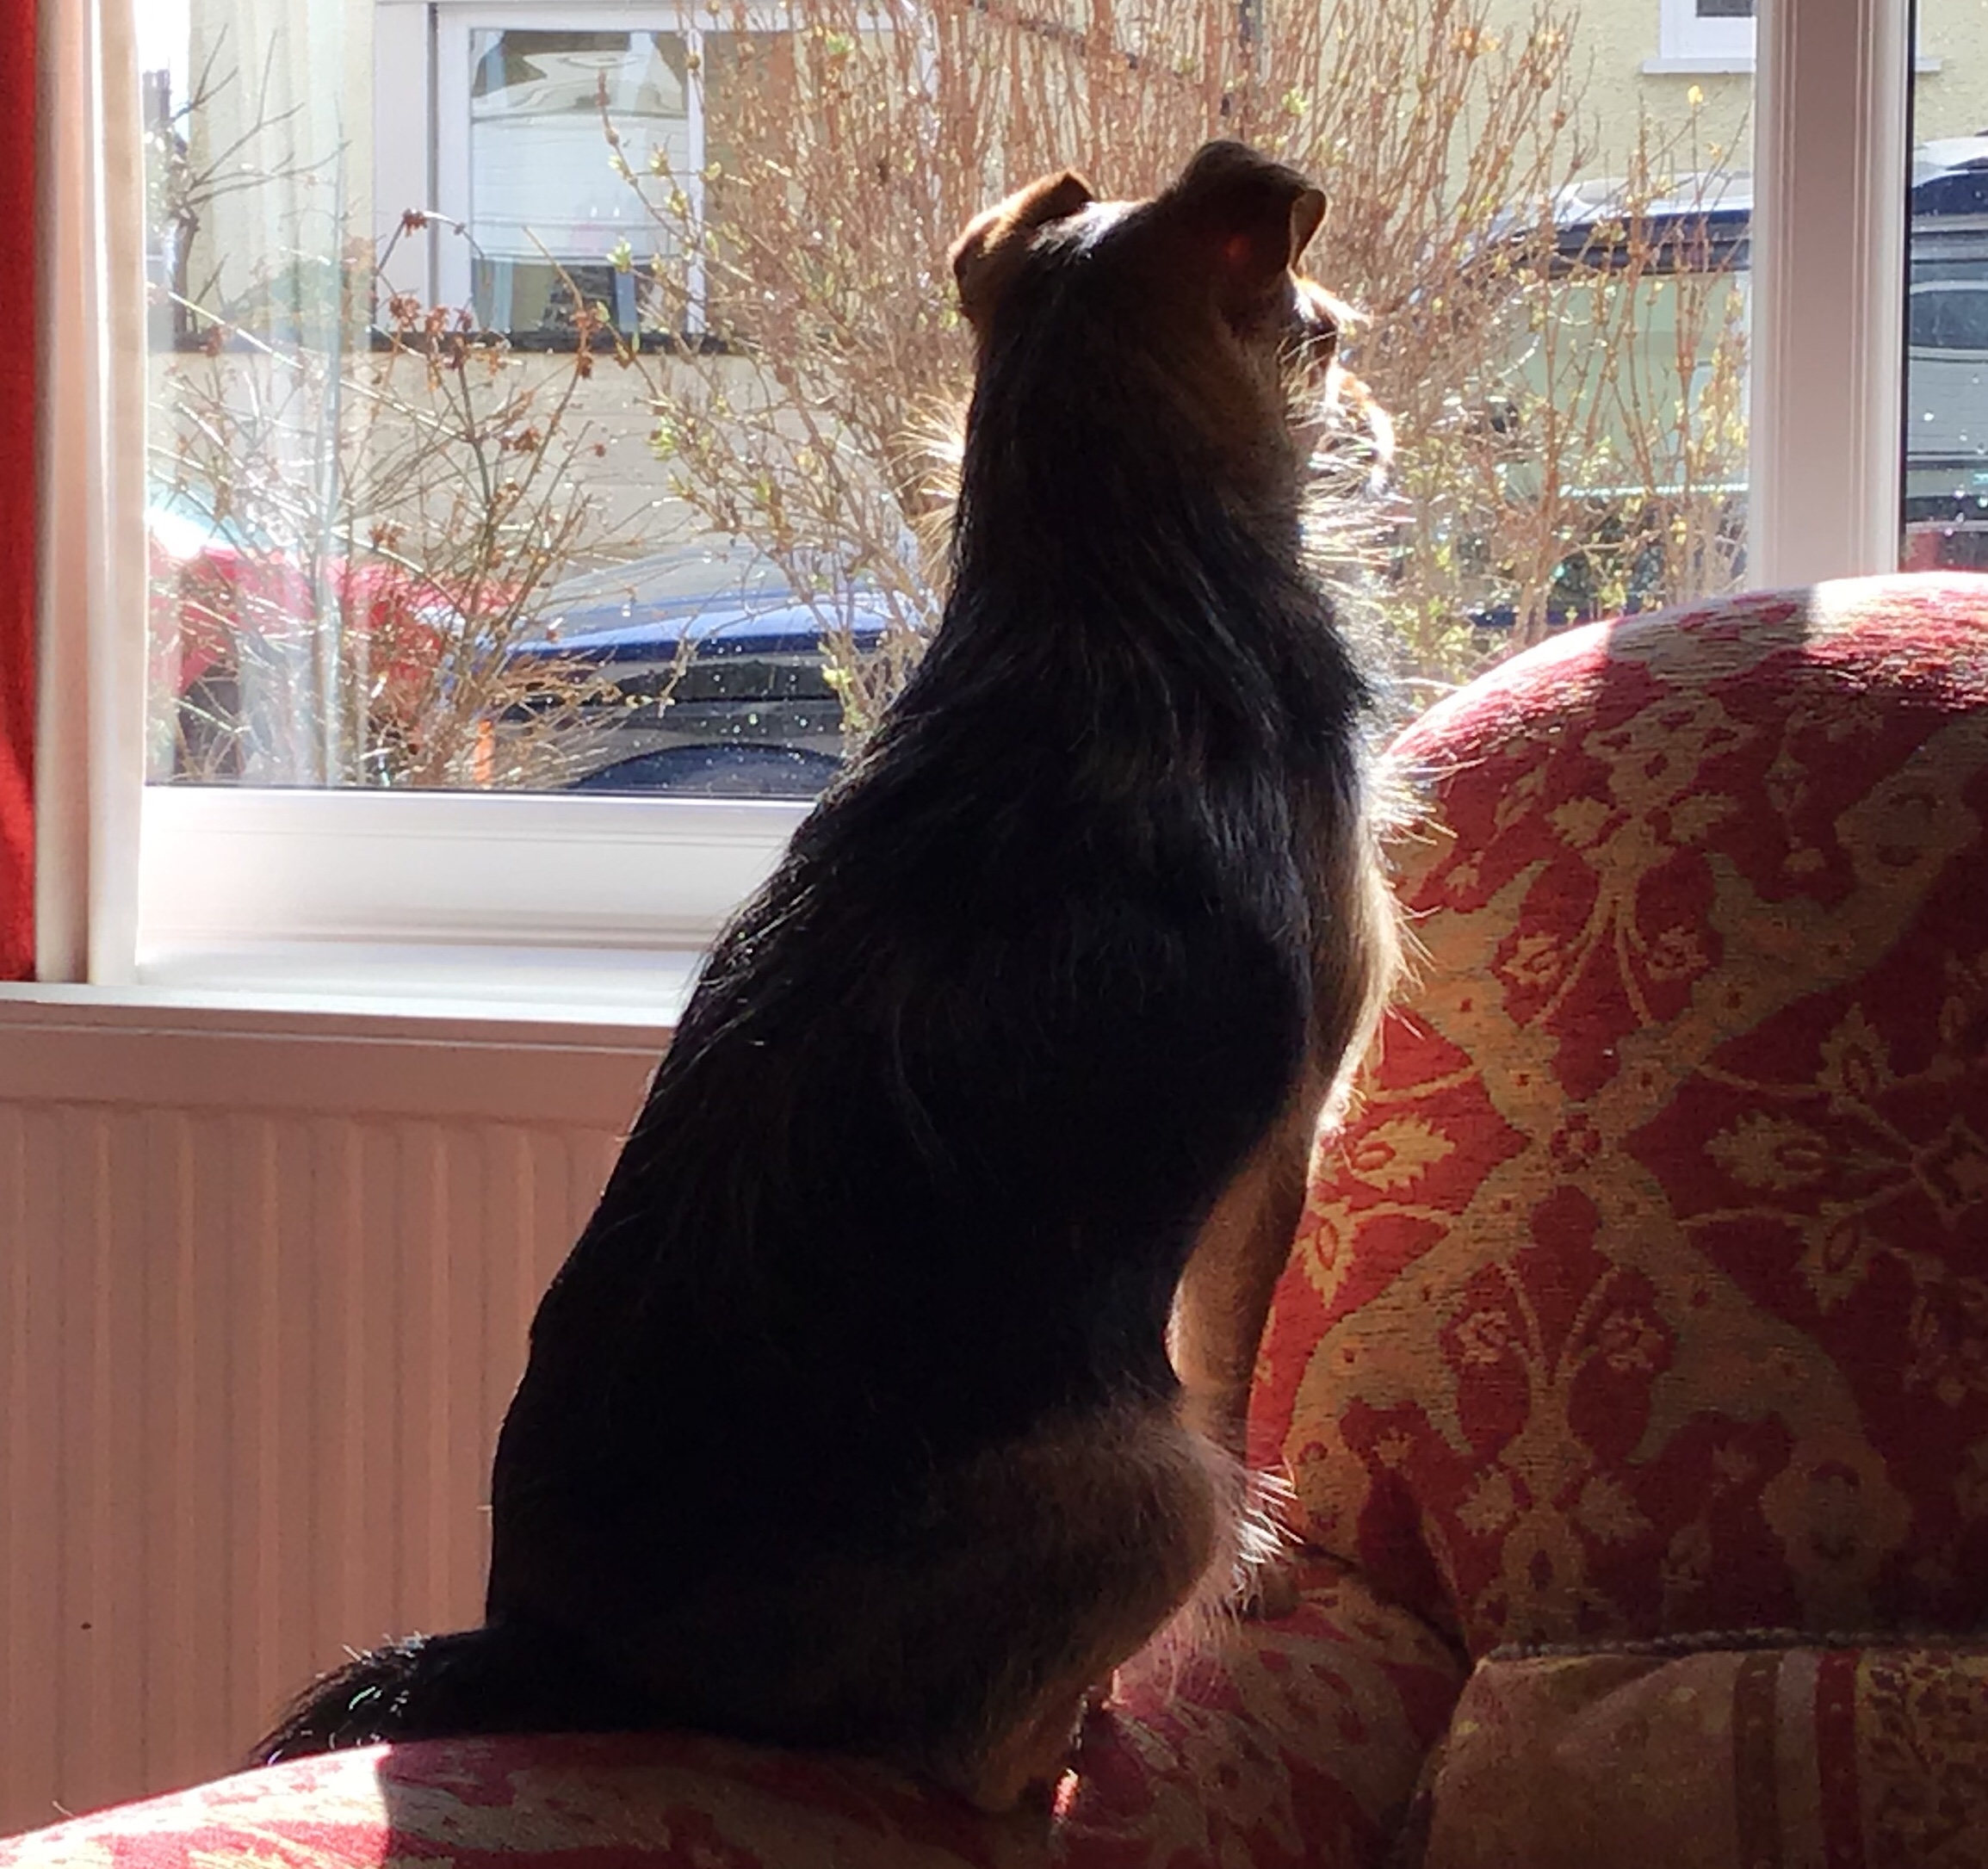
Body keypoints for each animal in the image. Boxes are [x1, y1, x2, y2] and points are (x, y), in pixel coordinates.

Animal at [254, 139, 1398, 1812]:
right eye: (1323, 336)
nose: (1380, 424)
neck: (1097, 576)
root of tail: (560, 1656)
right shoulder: (1279, 1144)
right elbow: (1231, 1358)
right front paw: (1259, 1578)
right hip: (1151, 1484)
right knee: (984, 1757)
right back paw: (1078, 1736)